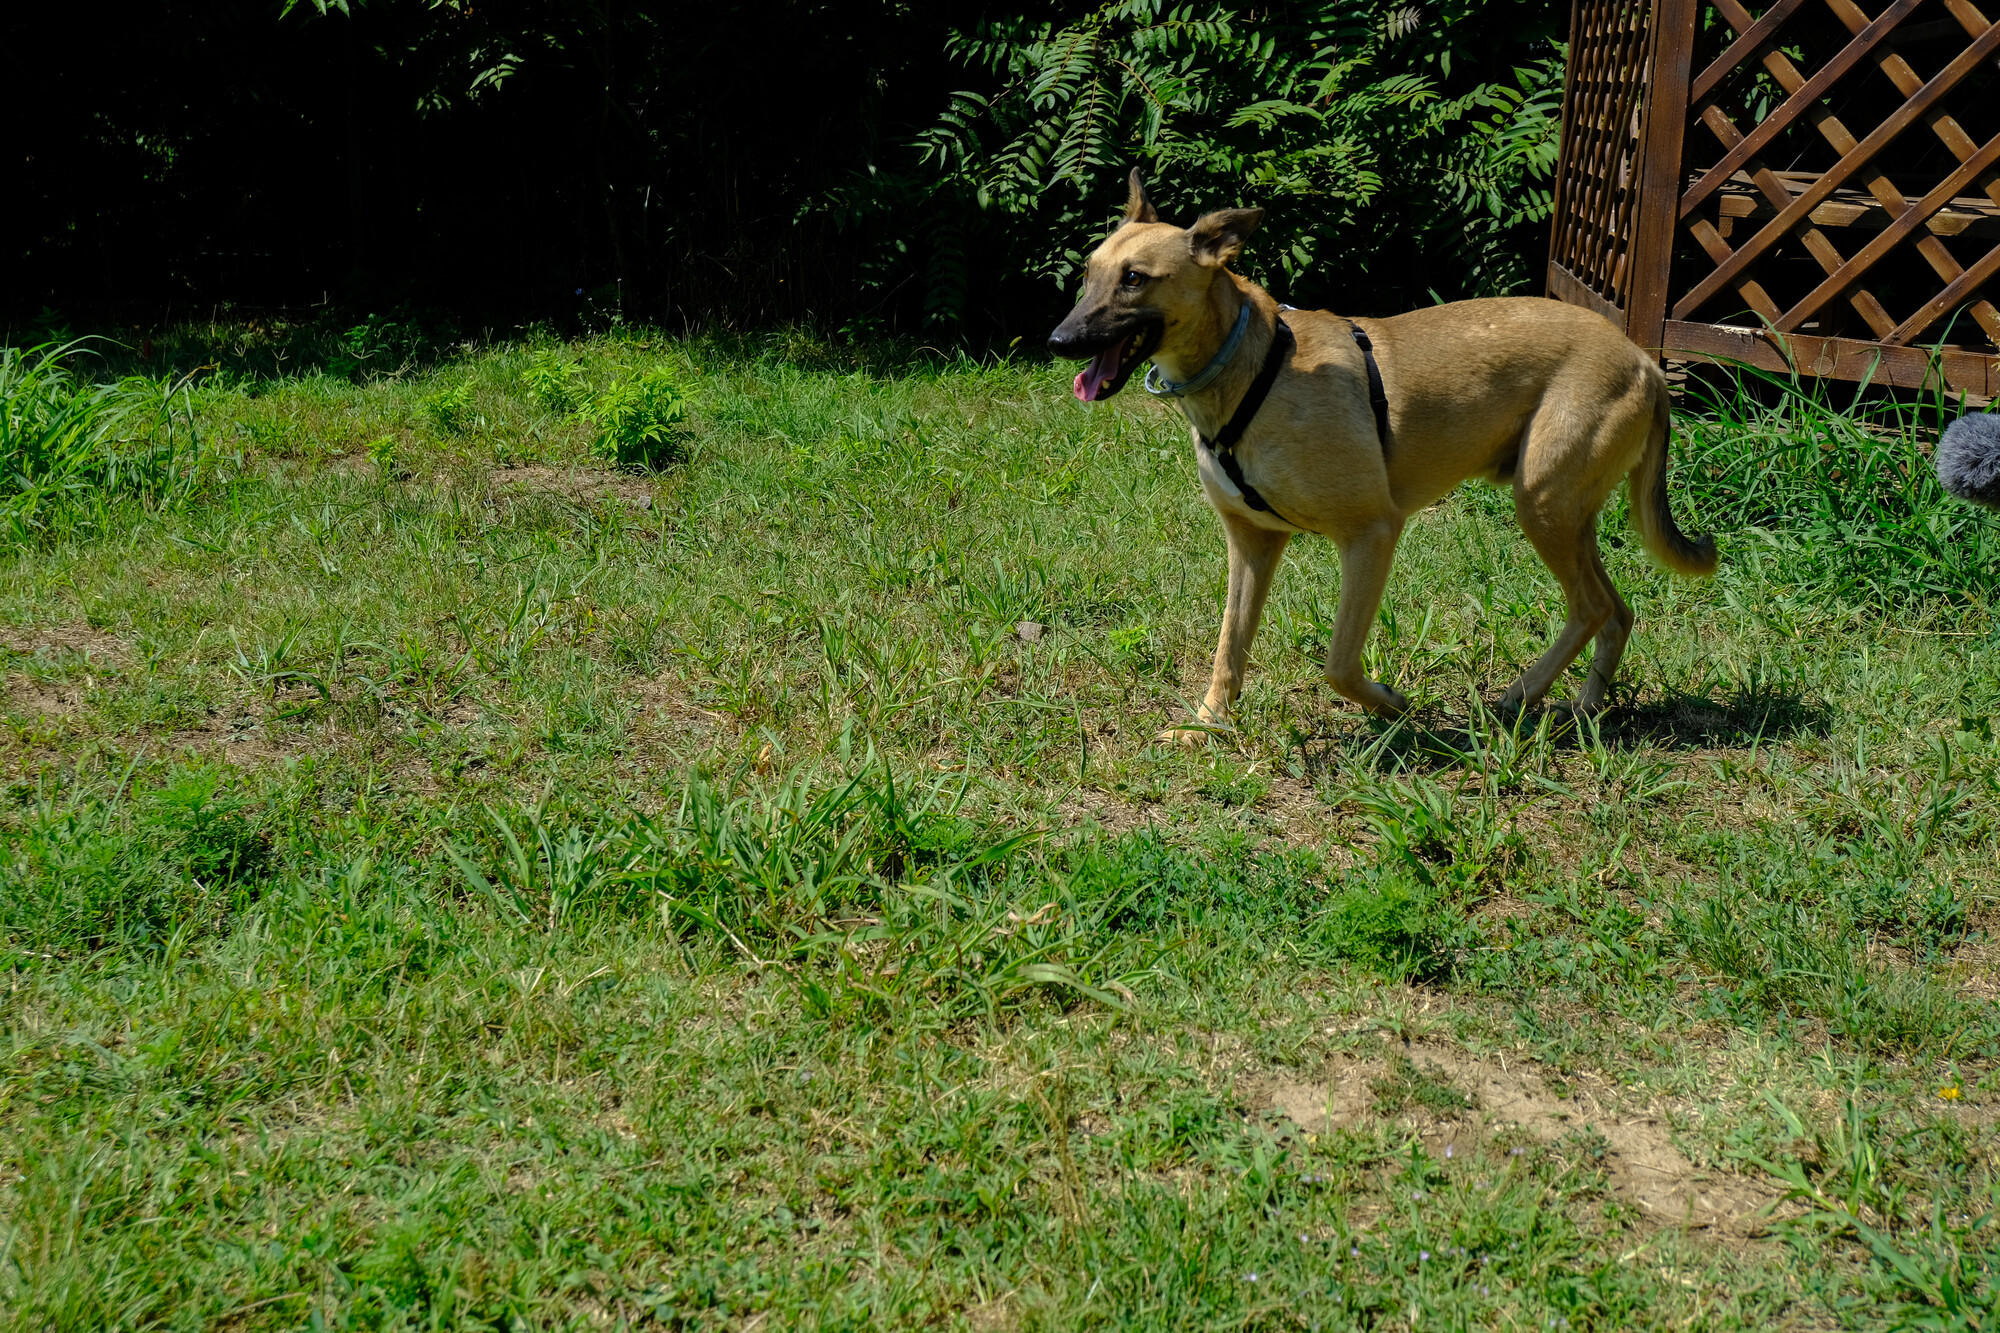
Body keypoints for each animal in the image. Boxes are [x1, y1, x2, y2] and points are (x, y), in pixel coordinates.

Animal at [1048, 170, 1720, 732]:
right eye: (1088, 274)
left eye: (1135, 279)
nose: (1058, 340)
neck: (1250, 367)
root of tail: (1642, 361)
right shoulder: (1251, 543)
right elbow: (1229, 647)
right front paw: (1208, 725)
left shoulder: (1371, 533)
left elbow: (1339, 665)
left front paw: (1391, 706)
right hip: (1567, 515)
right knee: (1616, 610)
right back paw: (1584, 706)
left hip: (1543, 505)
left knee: (1591, 607)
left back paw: (1525, 692)